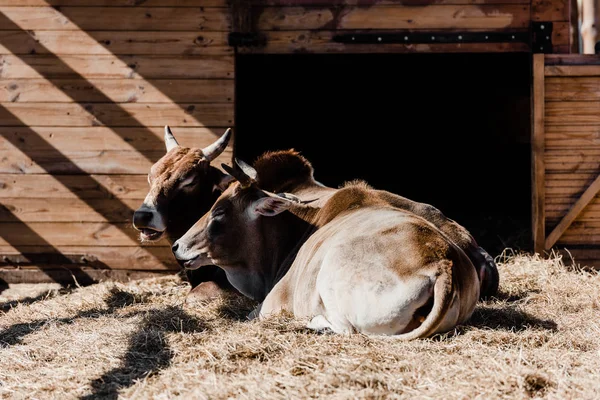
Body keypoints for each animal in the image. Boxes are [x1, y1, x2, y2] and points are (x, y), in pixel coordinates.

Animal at [171, 159, 480, 338]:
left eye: (219, 211)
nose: (177, 246)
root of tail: (441, 263)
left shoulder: (270, 305)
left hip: (332, 275)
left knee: (346, 329)